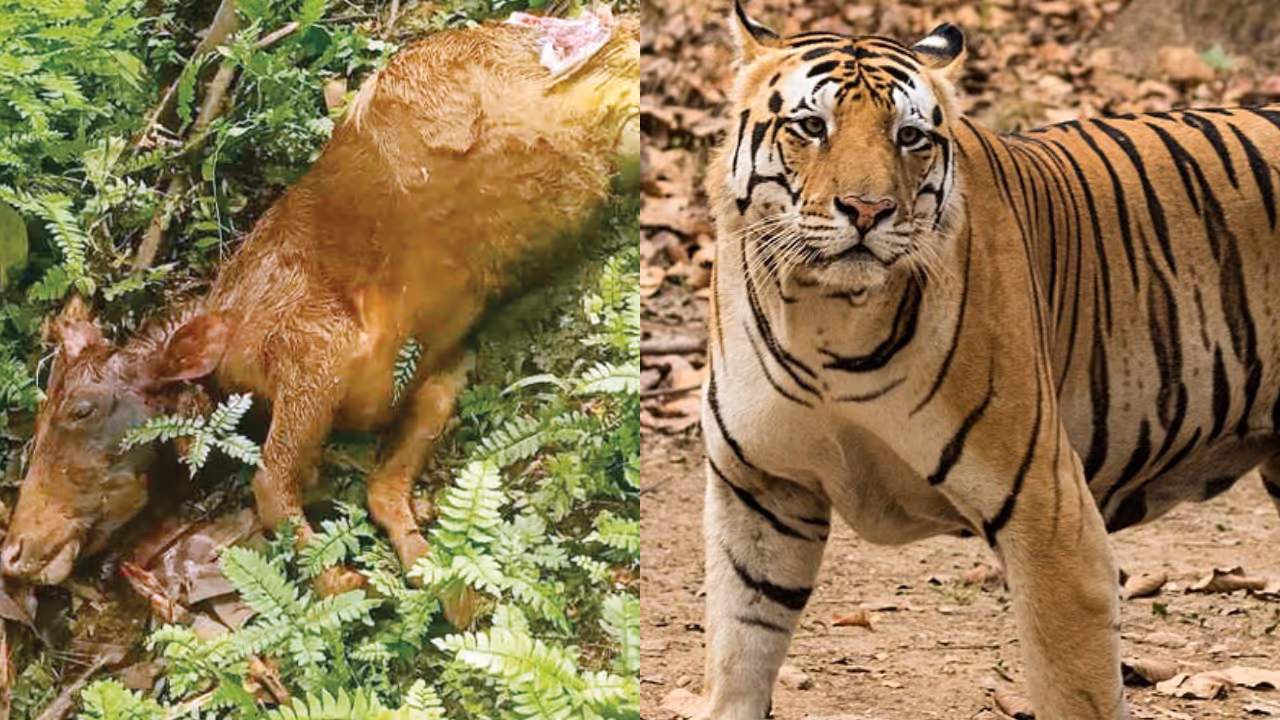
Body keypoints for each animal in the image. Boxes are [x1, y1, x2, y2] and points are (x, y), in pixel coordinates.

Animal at [698, 3, 1280, 719]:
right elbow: (739, 652)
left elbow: (1075, 687)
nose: (868, 210)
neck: (825, 317)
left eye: (909, 136)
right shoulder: (759, 490)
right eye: (812, 126)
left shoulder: (1050, 517)